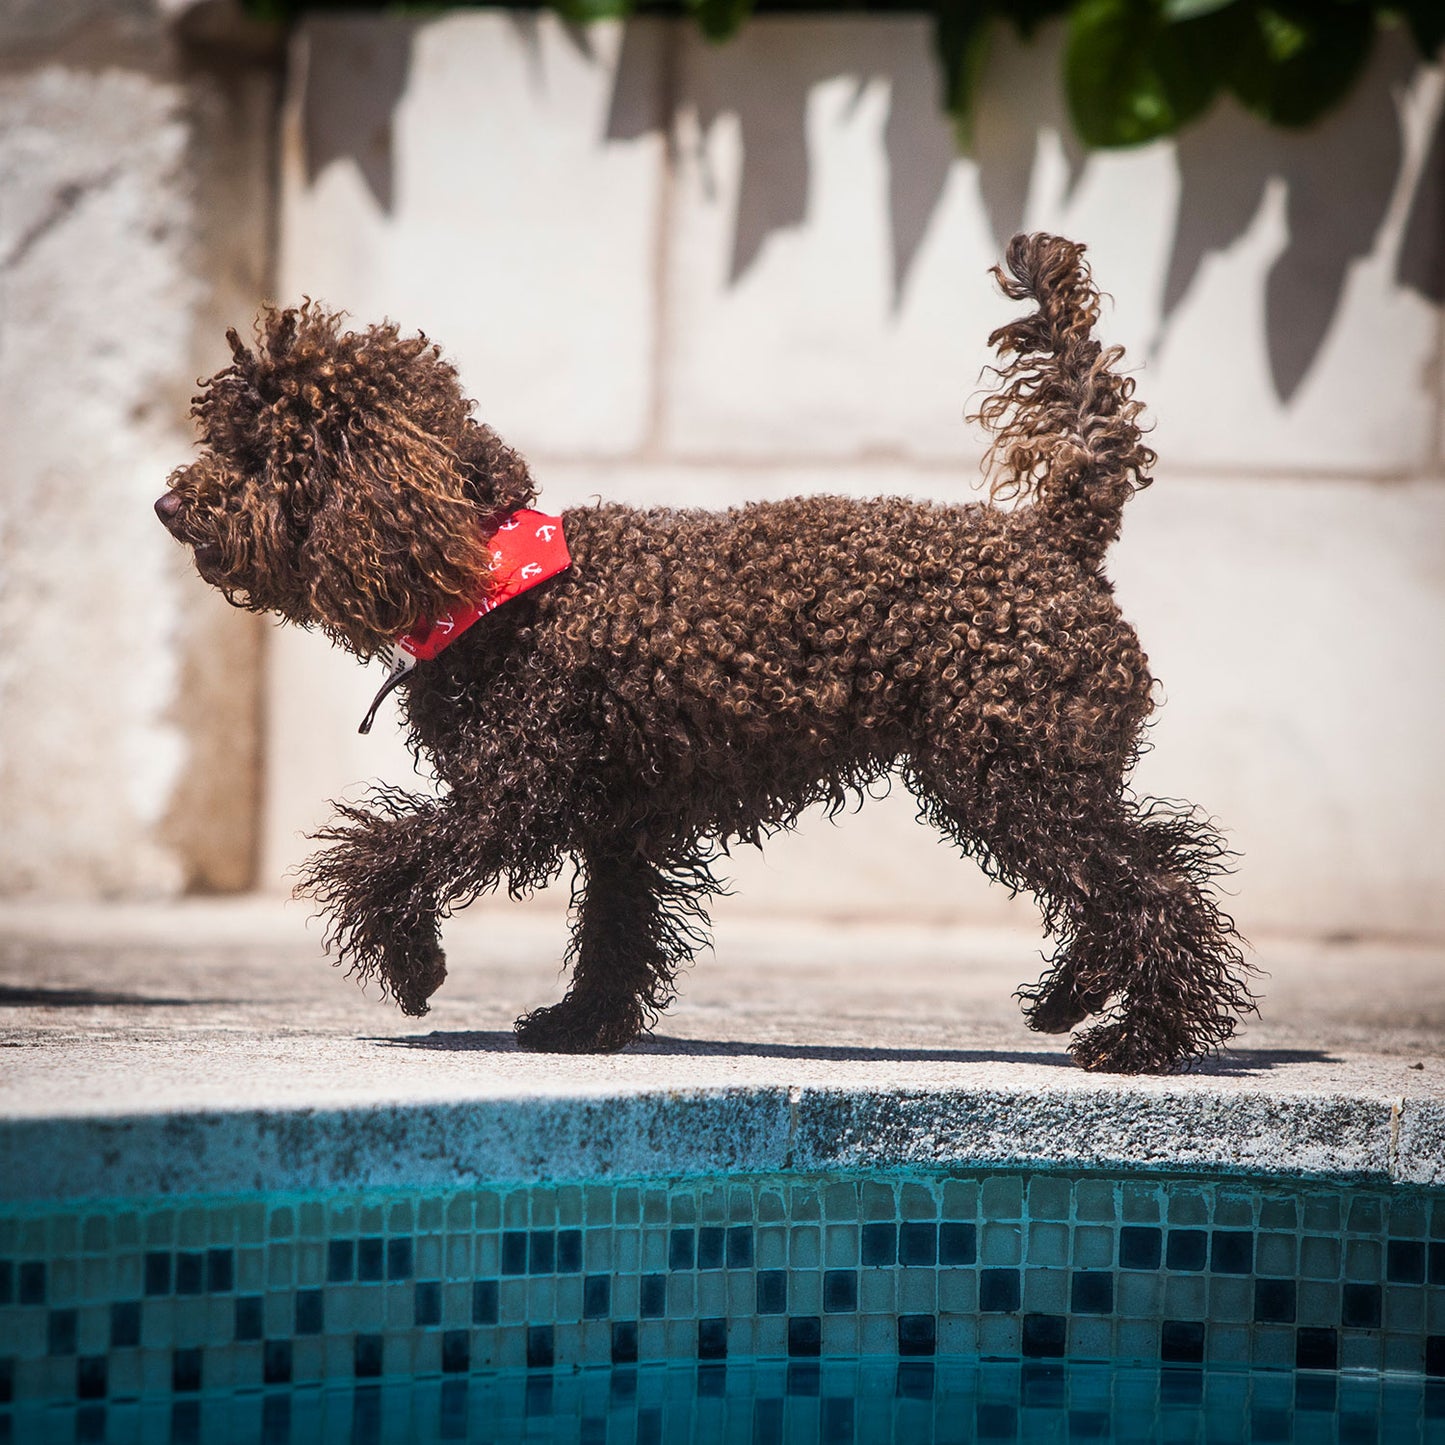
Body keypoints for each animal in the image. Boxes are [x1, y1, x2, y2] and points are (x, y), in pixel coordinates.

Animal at [152, 234, 1248, 1075]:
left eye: (262, 454)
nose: (167, 504)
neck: (497, 573)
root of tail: (1057, 534)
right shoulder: (619, 819)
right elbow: (613, 929)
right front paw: (578, 1026)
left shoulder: (520, 786)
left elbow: (389, 854)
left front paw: (414, 968)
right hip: (1040, 771)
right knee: (1123, 877)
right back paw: (1071, 1000)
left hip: (1014, 767)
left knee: (1152, 885)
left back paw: (1142, 1038)